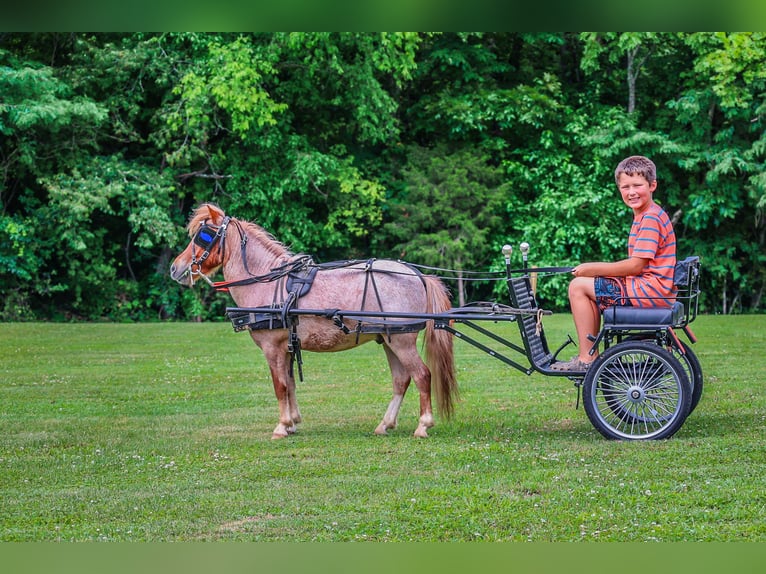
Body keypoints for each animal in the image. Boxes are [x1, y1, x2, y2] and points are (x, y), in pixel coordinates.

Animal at [171, 204, 460, 440]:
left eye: (203, 235)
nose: (175, 268)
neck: (267, 282)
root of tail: (418, 275)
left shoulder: (272, 347)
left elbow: (279, 386)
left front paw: (281, 426)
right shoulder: (287, 346)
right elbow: (289, 384)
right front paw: (292, 422)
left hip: (402, 341)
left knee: (422, 375)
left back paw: (423, 425)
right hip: (389, 338)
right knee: (401, 380)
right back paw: (385, 424)